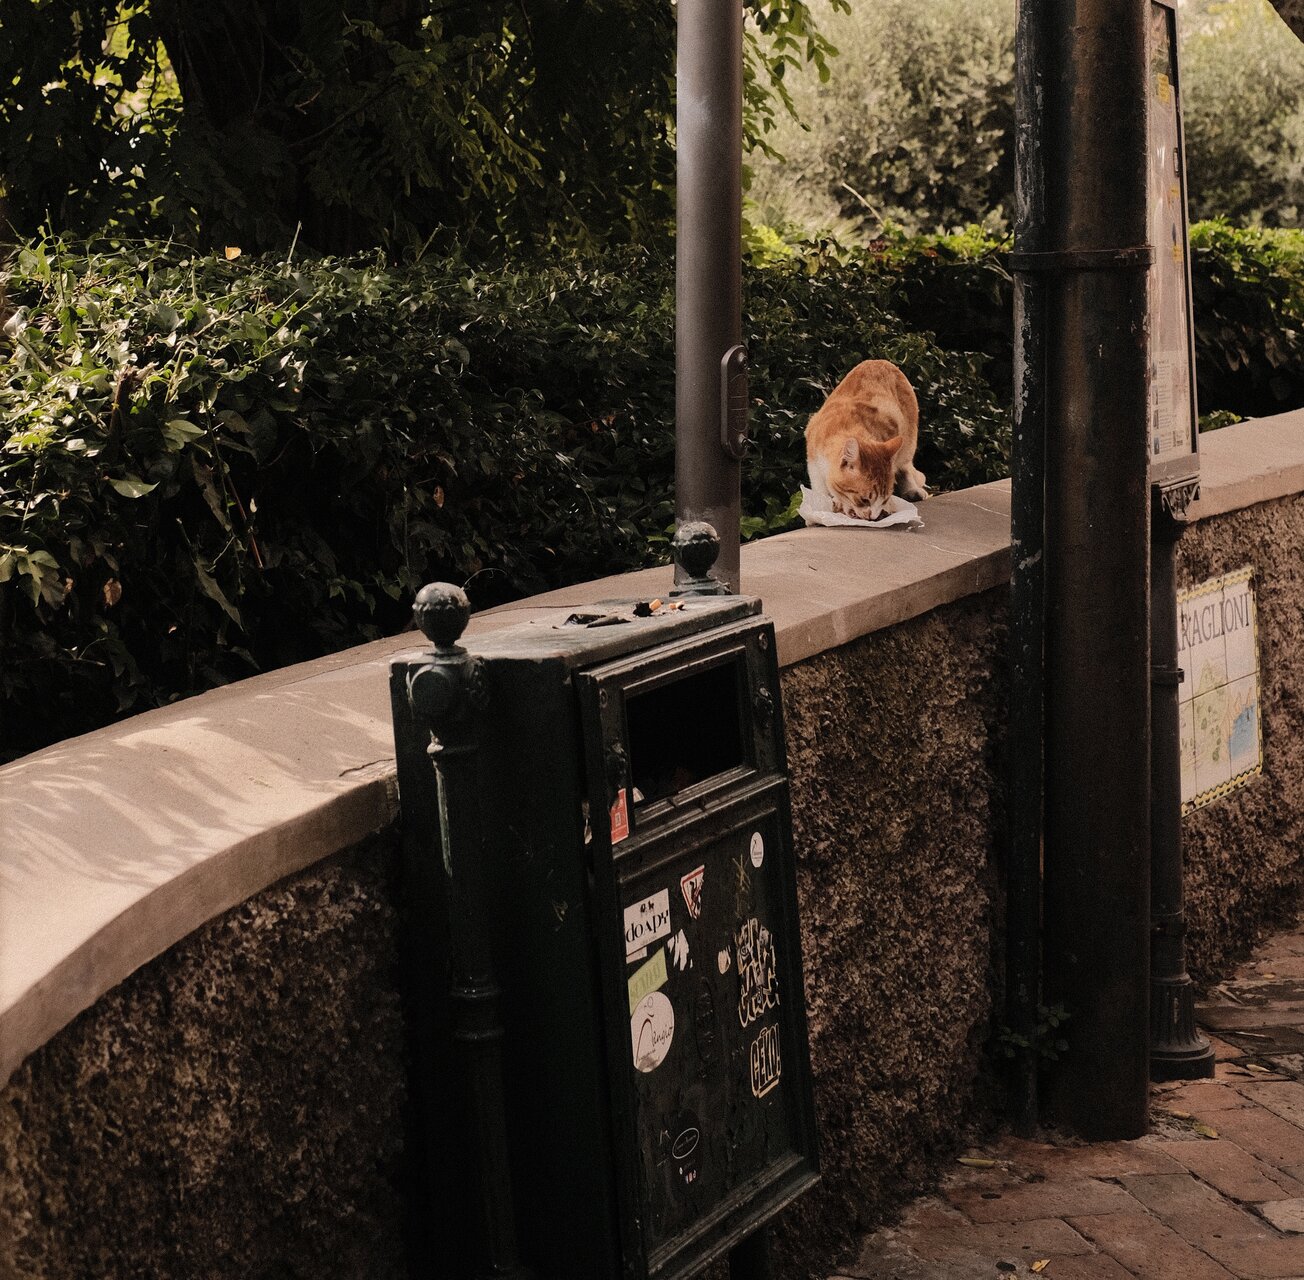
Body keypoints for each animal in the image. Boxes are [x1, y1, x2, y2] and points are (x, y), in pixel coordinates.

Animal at [803, 357, 928, 518]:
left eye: (884, 499)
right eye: (864, 499)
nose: (874, 517)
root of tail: (879, 360)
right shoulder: (813, 462)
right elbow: (820, 489)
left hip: (908, 440)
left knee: (905, 467)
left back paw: (912, 490)